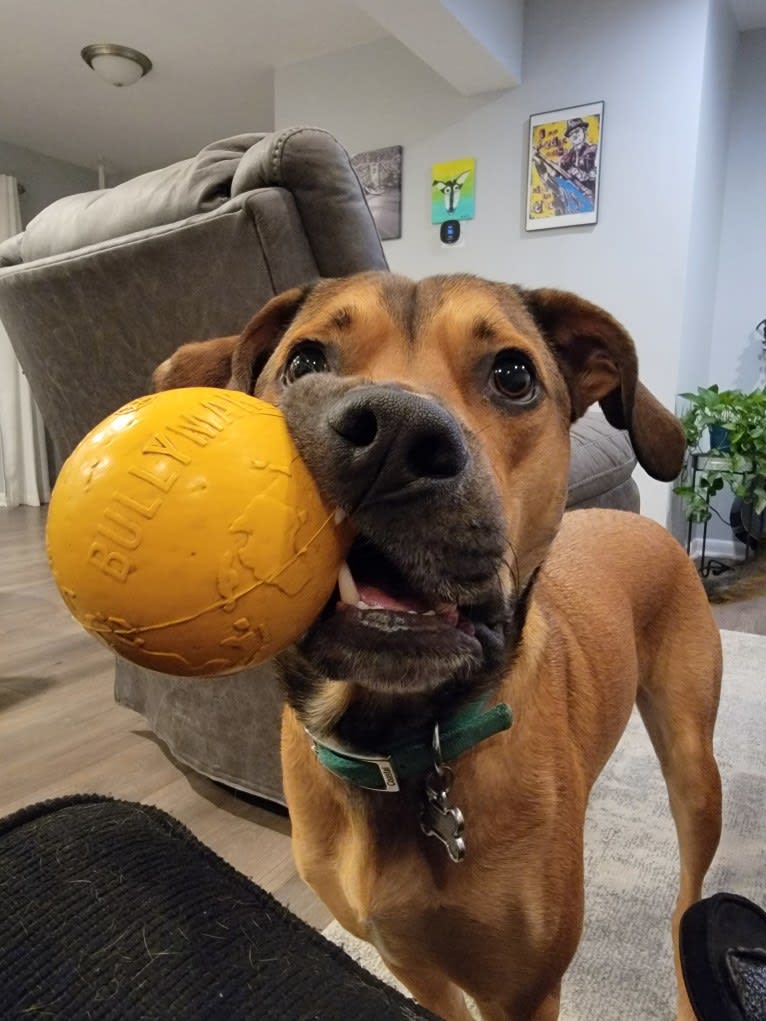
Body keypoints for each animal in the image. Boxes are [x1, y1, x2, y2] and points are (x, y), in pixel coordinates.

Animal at [154, 273, 719, 1021]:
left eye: (513, 374)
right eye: (304, 360)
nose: (392, 435)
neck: (397, 741)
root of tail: (649, 528)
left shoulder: (525, 990)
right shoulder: (409, 961)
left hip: (693, 766)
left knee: (689, 896)